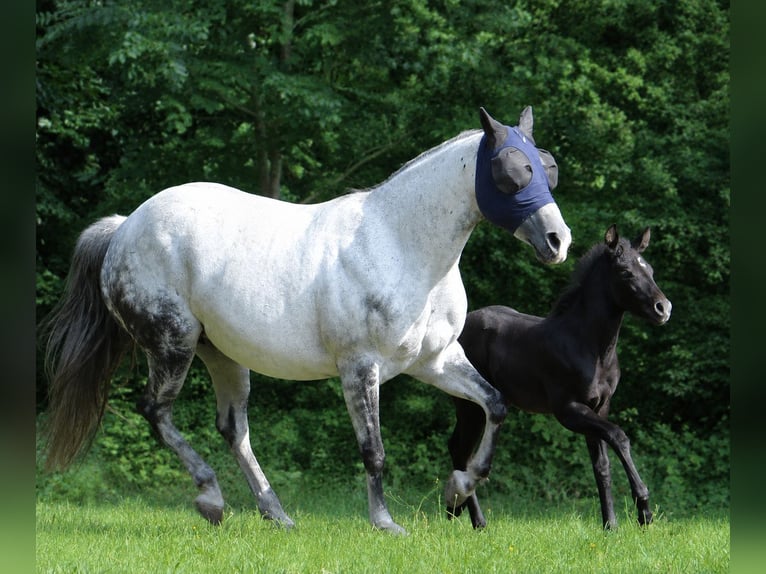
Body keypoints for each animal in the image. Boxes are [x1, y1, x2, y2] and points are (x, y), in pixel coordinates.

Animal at [42, 106, 572, 534]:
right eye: (511, 171)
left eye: (547, 167)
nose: (557, 241)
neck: (399, 245)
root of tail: (123, 228)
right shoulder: (359, 368)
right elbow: (373, 449)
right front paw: (385, 523)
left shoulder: (436, 362)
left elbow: (496, 405)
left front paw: (458, 488)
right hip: (173, 345)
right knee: (157, 412)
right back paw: (211, 499)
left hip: (221, 356)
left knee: (233, 429)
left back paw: (275, 514)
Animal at [449, 224, 671, 530]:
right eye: (626, 272)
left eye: (649, 269)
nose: (664, 308)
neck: (590, 347)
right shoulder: (569, 411)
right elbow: (619, 436)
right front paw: (644, 511)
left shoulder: (599, 407)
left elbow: (601, 465)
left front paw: (611, 525)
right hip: (469, 406)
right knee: (461, 451)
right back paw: (476, 520)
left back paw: (454, 509)